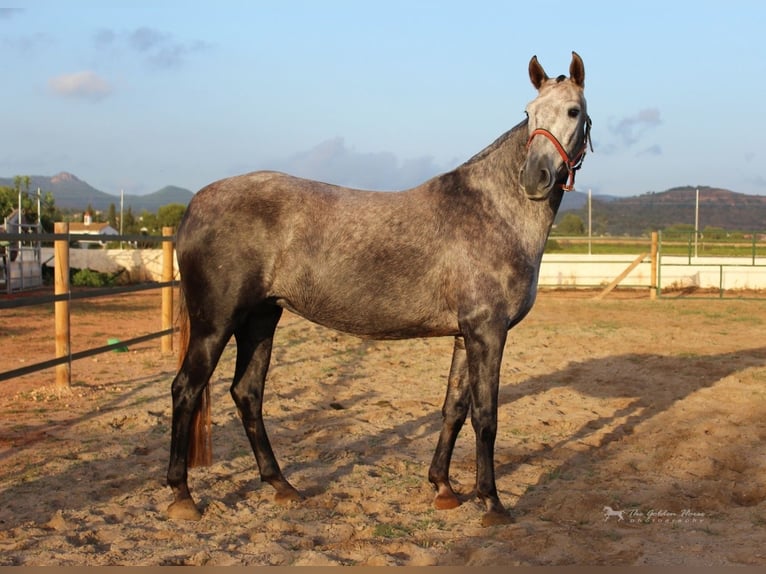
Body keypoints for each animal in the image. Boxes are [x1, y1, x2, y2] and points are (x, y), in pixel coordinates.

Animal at [166, 51, 592, 528]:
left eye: (572, 111)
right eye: (529, 113)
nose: (535, 177)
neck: (494, 211)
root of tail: (195, 205)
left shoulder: (467, 334)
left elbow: (454, 408)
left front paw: (444, 488)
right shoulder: (488, 332)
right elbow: (486, 416)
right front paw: (492, 503)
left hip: (260, 319)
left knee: (247, 394)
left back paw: (282, 486)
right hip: (215, 324)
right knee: (186, 390)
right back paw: (182, 495)